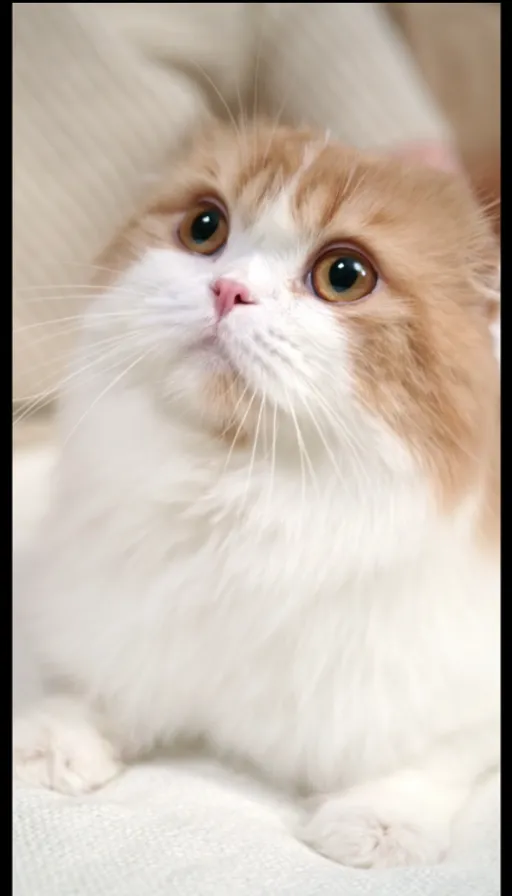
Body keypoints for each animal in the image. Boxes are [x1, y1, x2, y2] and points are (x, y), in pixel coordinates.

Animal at [13, 121, 500, 868]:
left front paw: (381, 822)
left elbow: (426, 759)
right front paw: (54, 741)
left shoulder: (456, 690)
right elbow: (94, 684)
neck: (243, 495)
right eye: (204, 228)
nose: (227, 290)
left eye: (344, 275)